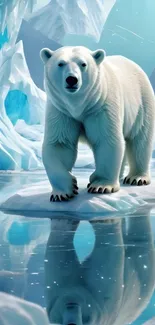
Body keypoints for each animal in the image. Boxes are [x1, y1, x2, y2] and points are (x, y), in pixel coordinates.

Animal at [40, 45, 155, 201]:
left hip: (142, 103)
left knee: (140, 140)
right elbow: (60, 144)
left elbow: (106, 140)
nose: (71, 79)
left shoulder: (101, 105)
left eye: (83, 64)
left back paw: (137, 178)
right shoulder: (61, 110)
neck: (79, 106)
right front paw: (64, 191)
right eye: (60, 63)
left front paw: (101, 186)